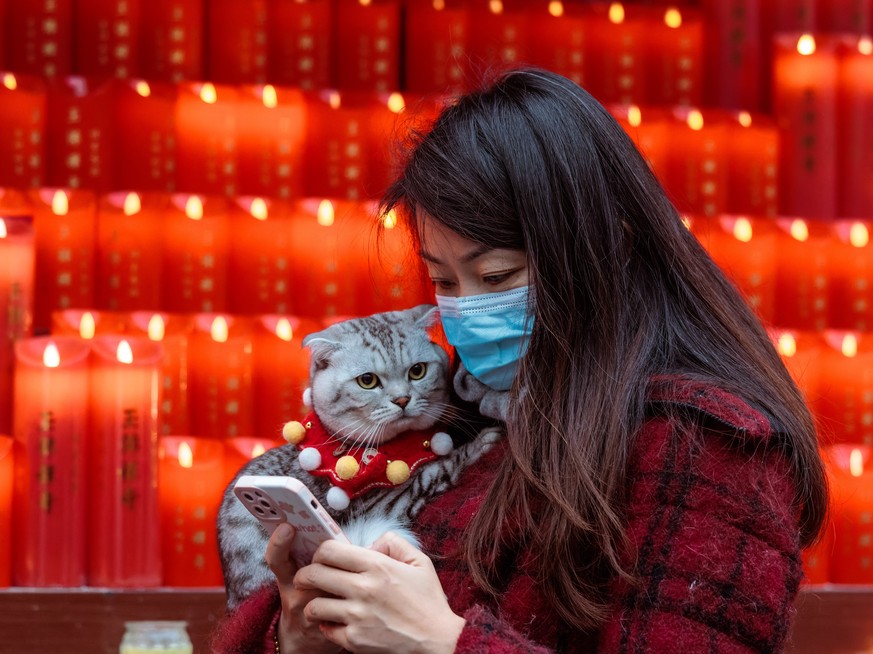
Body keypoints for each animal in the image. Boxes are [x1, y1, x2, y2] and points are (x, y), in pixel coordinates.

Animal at [218, 306, 500, 608]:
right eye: (368, 381)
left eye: (417, 371)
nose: (402, 399)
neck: (403, 448)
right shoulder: (388, 504)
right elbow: (436, 471)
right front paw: (483, 442)